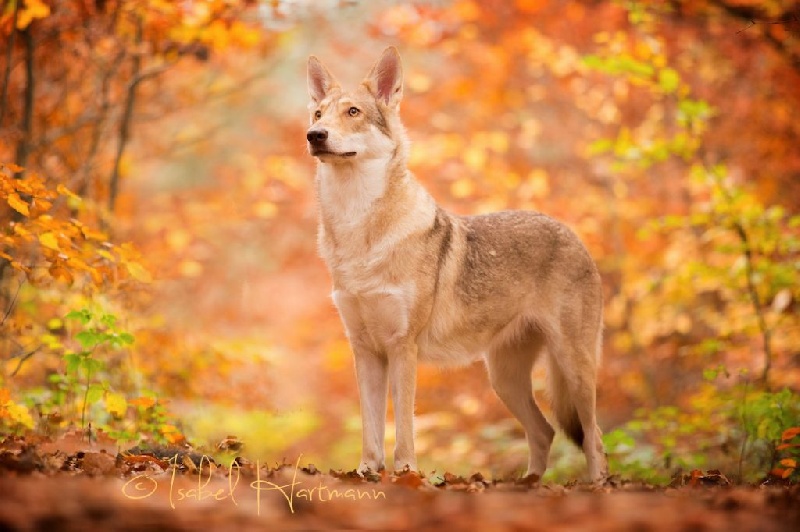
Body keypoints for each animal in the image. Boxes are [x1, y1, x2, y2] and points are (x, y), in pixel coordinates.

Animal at [306, 46, 608, 482]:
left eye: (353, 112)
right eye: (318, 114)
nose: (315, 136)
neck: (358, 232)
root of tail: (571, 233)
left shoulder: (403, 347)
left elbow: (404, 429)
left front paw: (407, 474)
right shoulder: (364, 350)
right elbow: (370, 429)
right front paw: (365, 473)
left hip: (573, 367)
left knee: (592, 436)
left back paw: (595, 485)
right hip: (504, 379)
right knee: (545, 431)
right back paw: (529, 484)